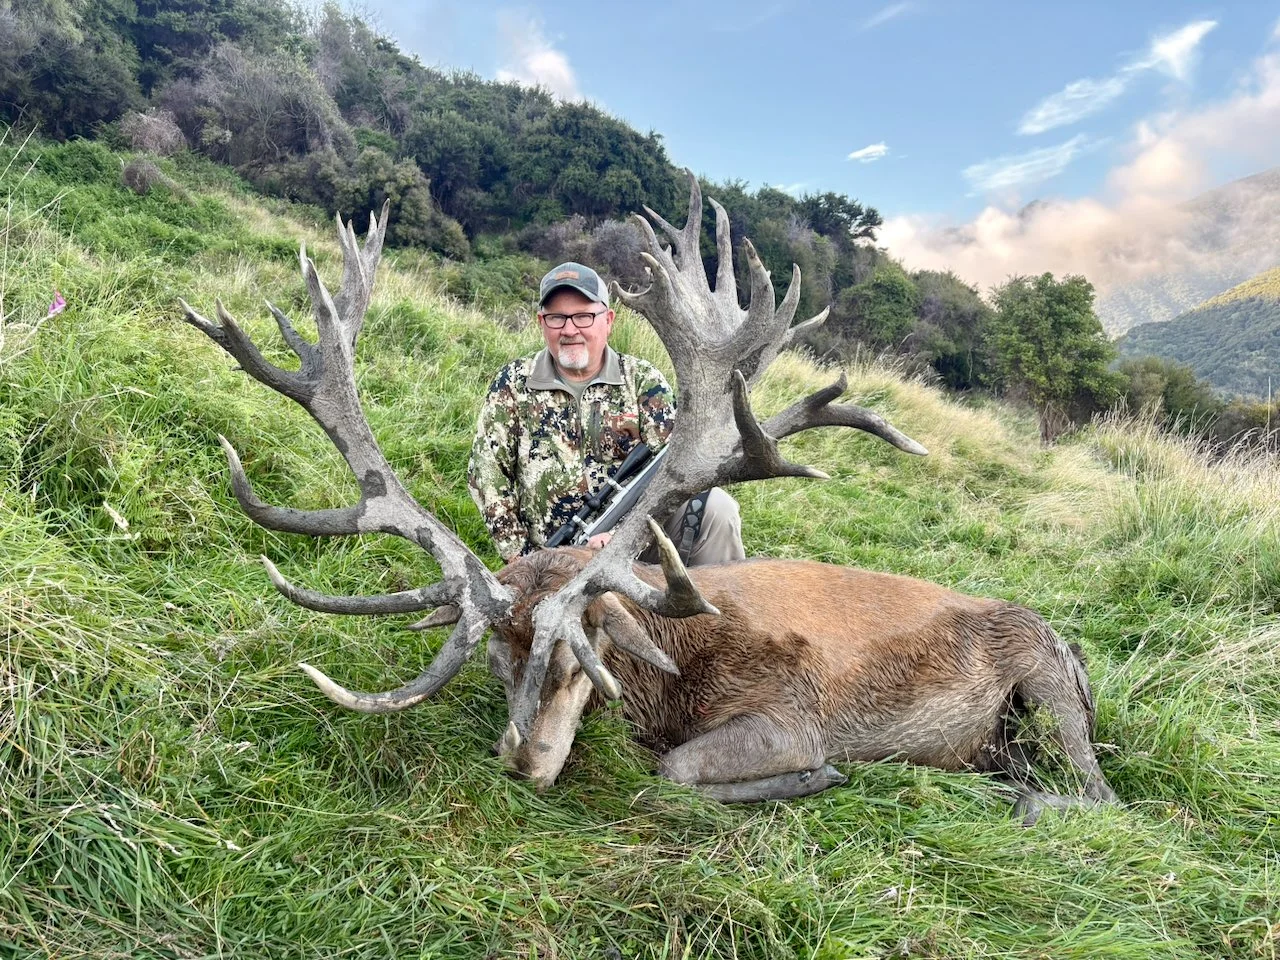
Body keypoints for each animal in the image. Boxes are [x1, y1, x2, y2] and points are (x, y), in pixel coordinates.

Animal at [180, 177, 1117, 825]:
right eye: (496, 662)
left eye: (580, 656)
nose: (523, 763)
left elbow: (675, 771)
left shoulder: (790, 715)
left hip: (1046, 685)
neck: (670, 678)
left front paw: (821, 777)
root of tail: (1068, 646)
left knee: (1102, 794)